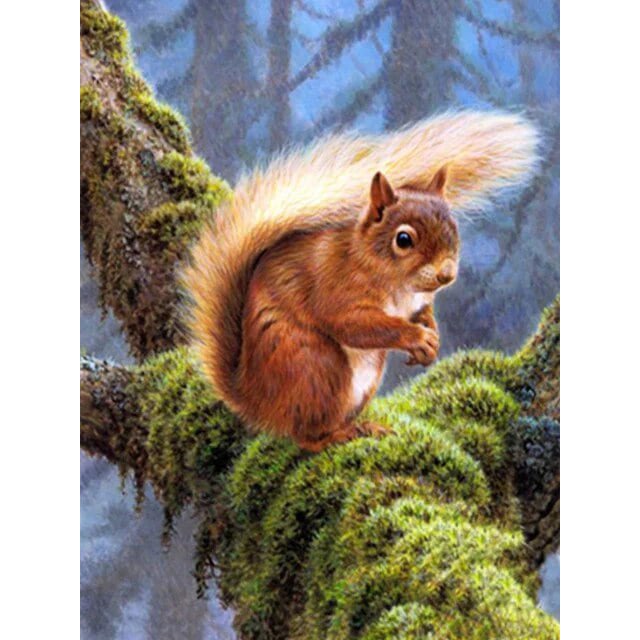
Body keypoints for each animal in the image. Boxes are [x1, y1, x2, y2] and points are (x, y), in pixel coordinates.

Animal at [184, 111, 539, 451]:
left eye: (453, 228)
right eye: (404, 239)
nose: (446, 274)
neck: (398, 284)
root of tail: (254, 399)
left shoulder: (417, 303)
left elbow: (423, 315)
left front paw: (432, 340)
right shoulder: (337, 288)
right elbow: (355, 324)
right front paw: (416, 337)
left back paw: (364, 426)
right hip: (314, 366)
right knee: (304, 436)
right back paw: (337, 436)